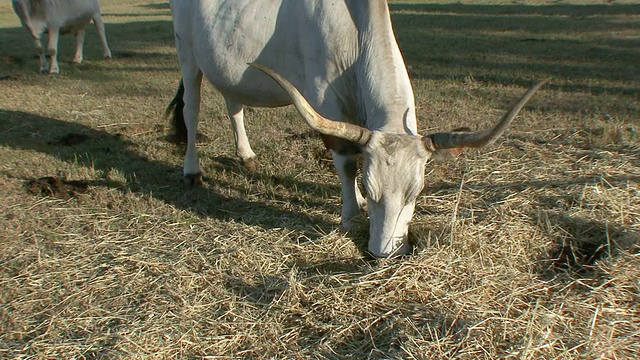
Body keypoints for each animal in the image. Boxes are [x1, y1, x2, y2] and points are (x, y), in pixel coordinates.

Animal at [166, 0, 544, 258]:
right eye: (371, 187)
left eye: (416, 193)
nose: (384, 253)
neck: (355, 33)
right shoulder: (323, 99)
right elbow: (346, 162)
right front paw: (351, 213)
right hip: (186, 53)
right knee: (192, 109)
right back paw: (191, 171)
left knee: (234, 105)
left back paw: (246, 156)